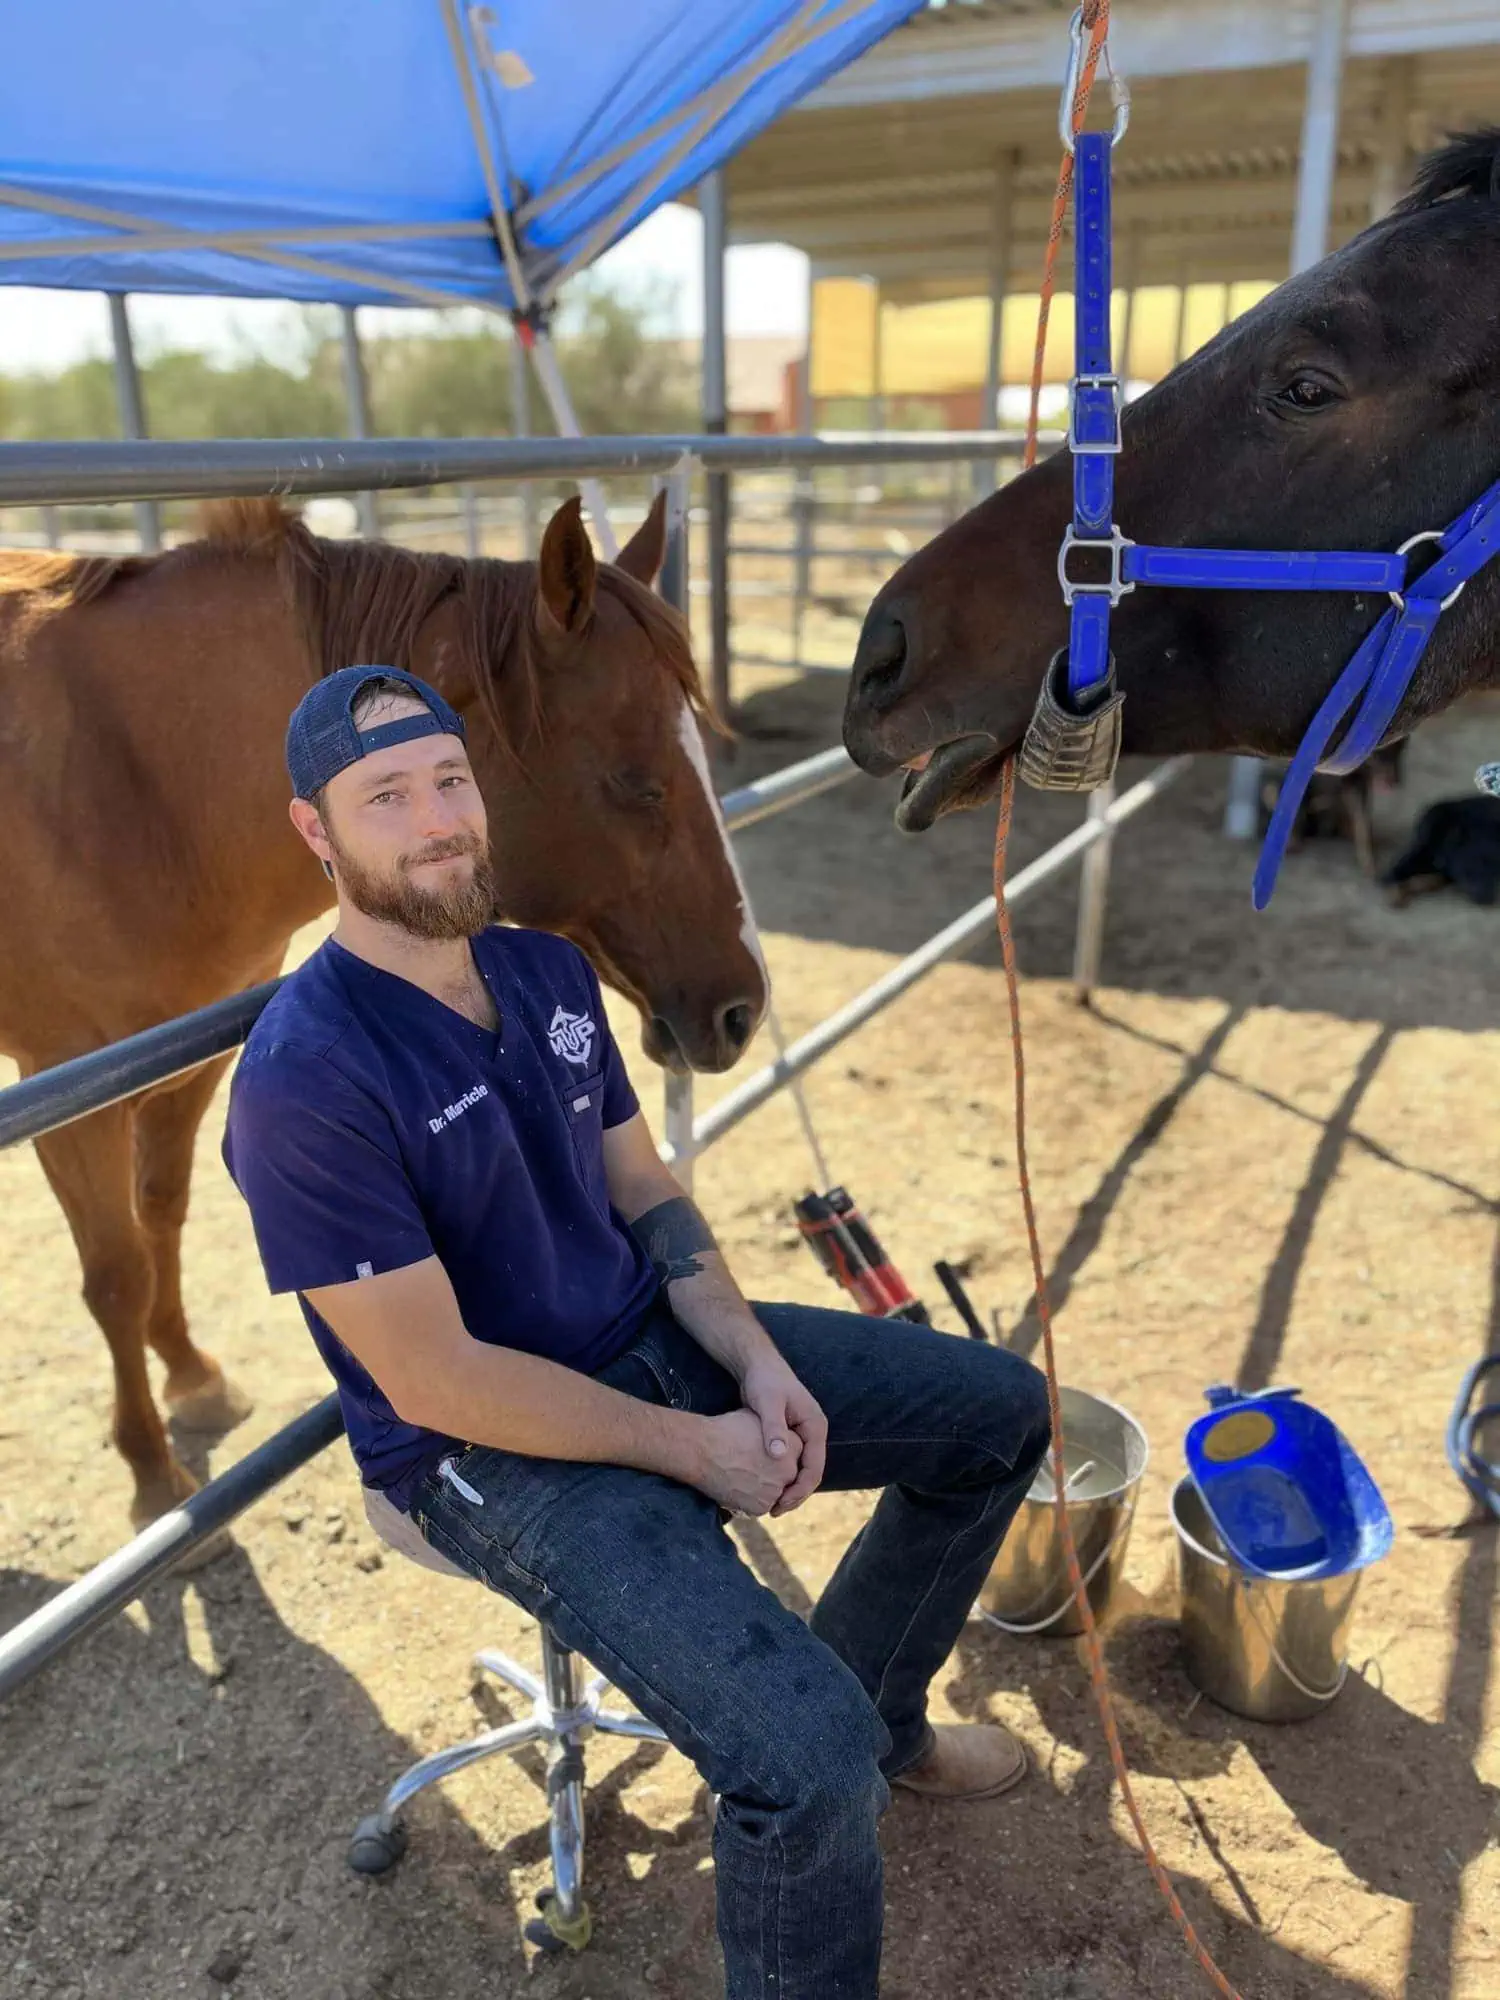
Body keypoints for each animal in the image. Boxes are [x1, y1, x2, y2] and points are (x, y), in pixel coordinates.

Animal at [0, 492, 767, 1530]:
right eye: (635, 780)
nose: (745, 1005)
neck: (134, 785)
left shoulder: (185, 1062)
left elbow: (163, 1211)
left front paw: (193, 1377)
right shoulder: (66, 1086)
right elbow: (116, 1274)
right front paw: (154, 1475)